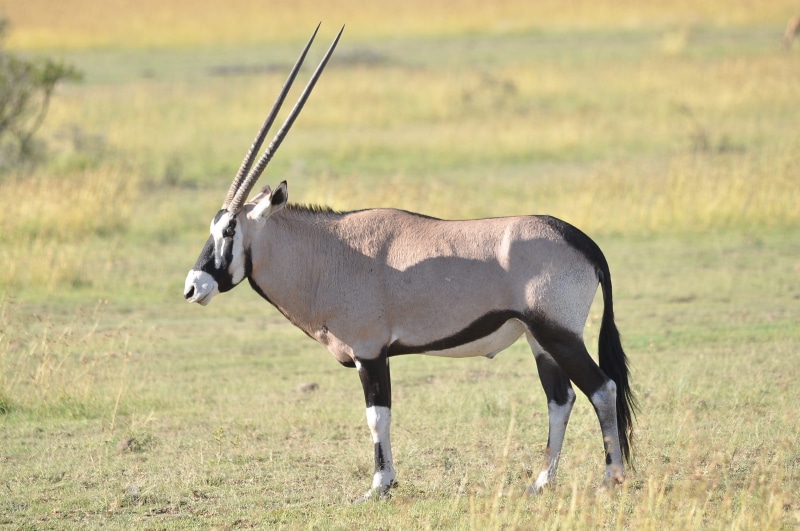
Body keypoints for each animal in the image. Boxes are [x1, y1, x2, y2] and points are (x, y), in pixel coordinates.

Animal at [184, 25, 636, 501]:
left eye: (229, 231)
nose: (192, 287)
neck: (329, 253)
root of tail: (584, 242)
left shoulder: (370, 353)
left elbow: (377, 416)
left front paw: (379, 486)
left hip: (559, 333)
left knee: (601, 388)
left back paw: (612, 477)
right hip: (539, 339)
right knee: (560, 397)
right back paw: (541, 481)